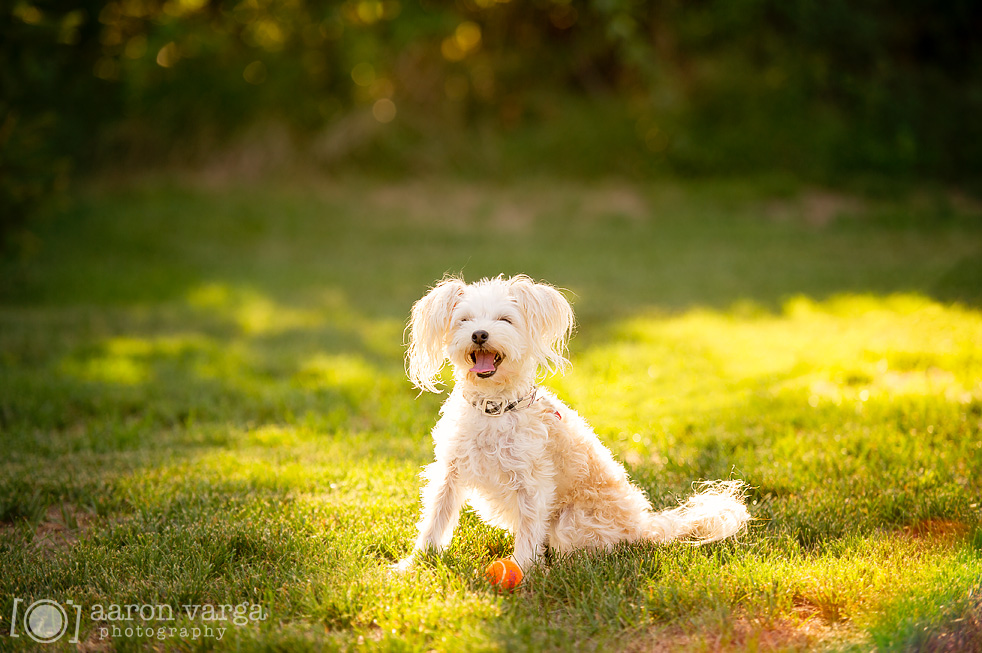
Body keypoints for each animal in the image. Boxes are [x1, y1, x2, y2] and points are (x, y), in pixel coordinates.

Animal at [396, 276, 748, 572]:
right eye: (464, 320)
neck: (493, 409)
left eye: (505, 320)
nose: (479, 334)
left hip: (571, 522)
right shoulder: (449, 472)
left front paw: (523, 571)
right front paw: (413, 565)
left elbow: (528, 533)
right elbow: (435, 519)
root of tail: (644, 525)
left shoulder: (532, 485)